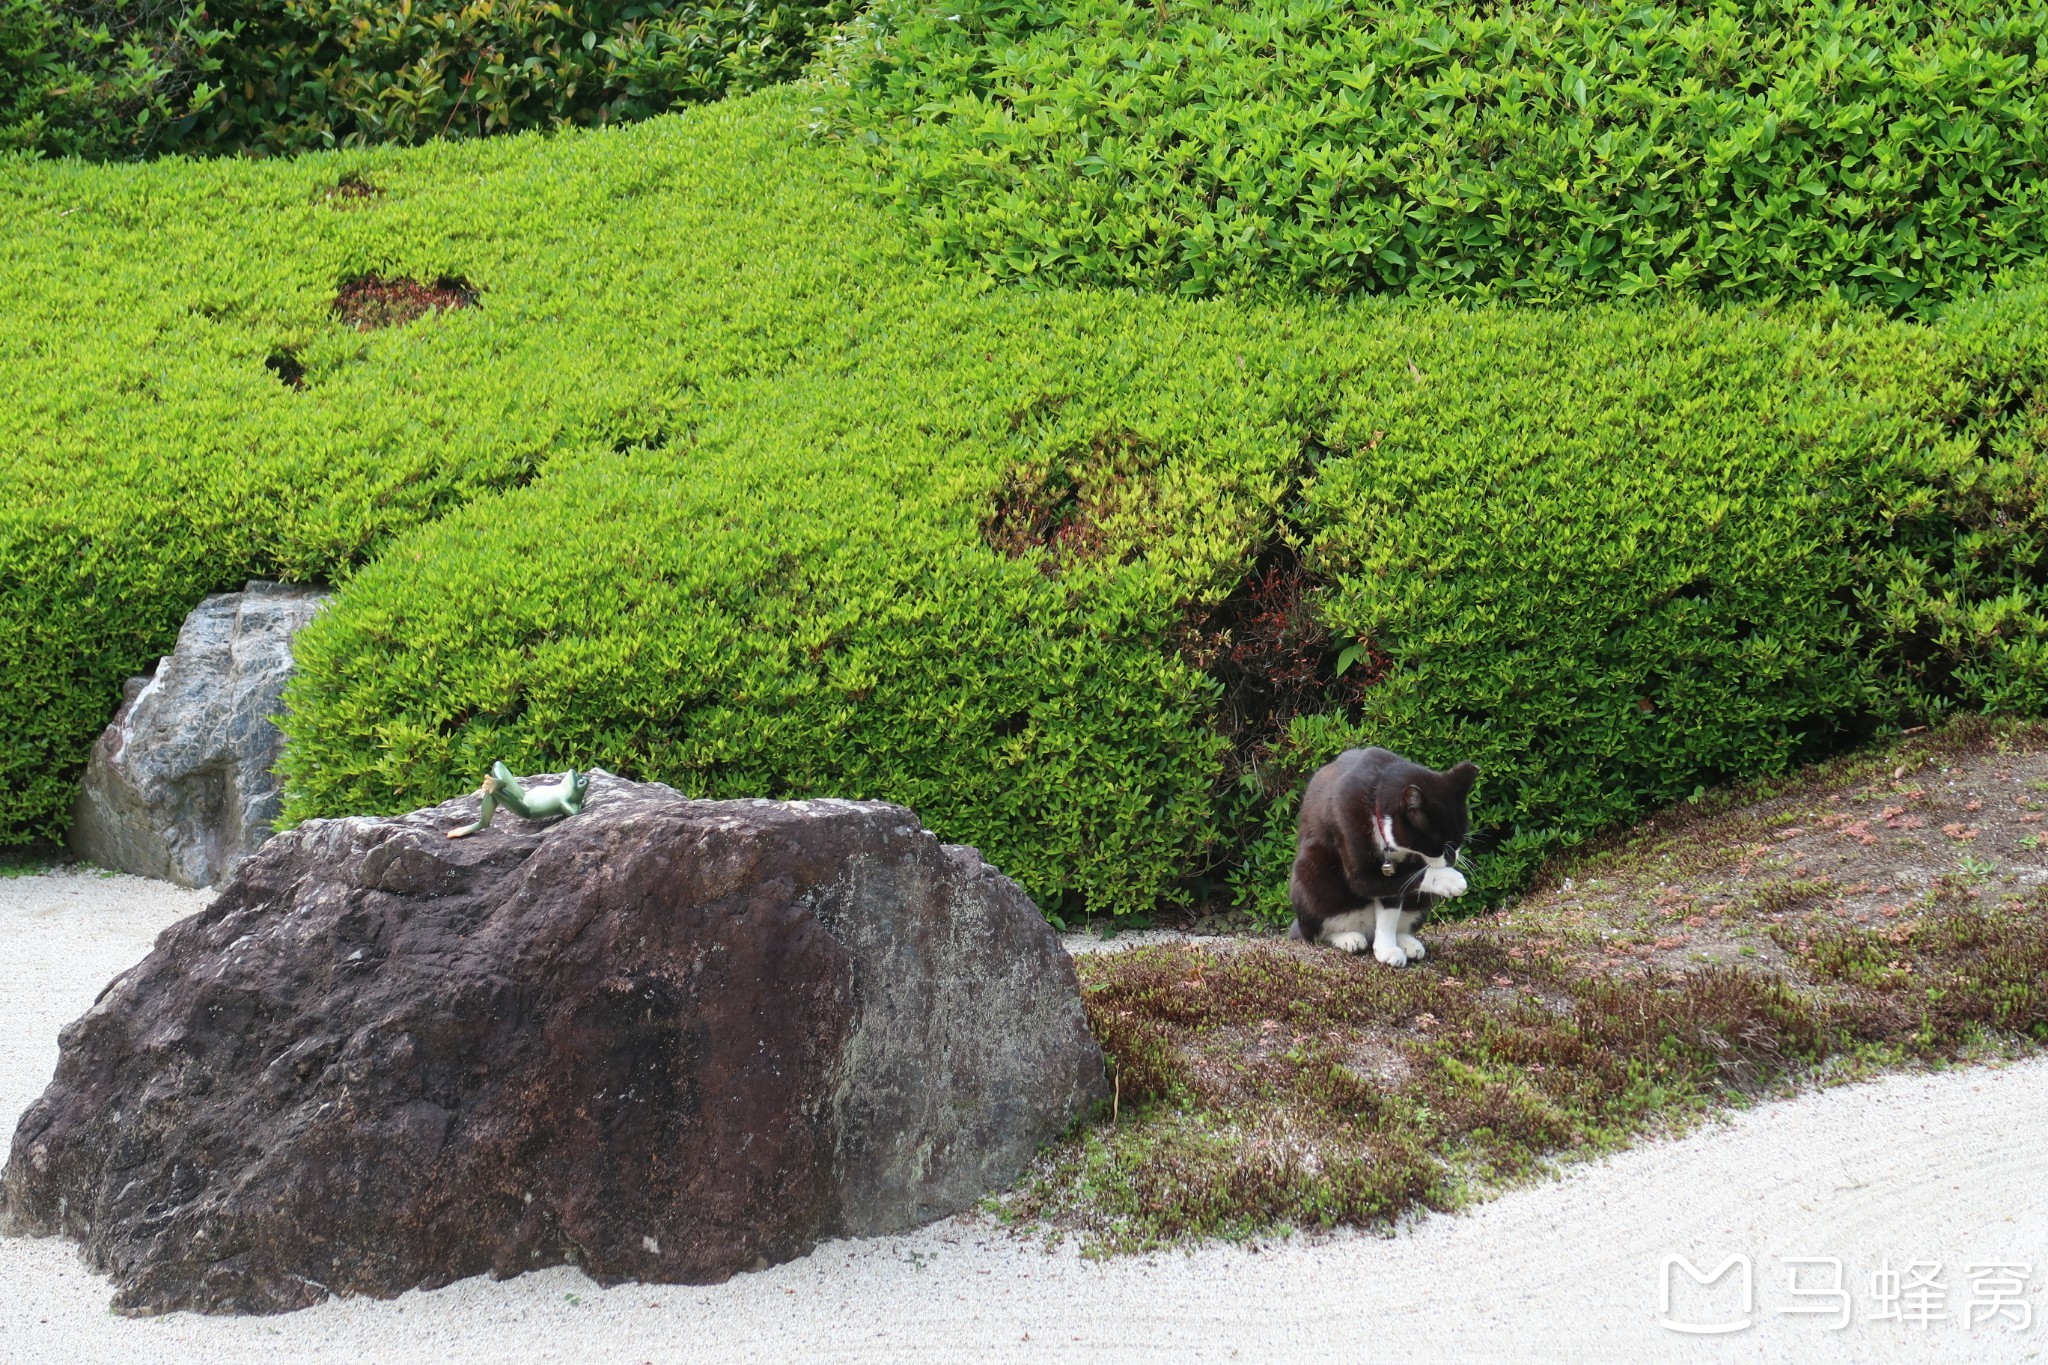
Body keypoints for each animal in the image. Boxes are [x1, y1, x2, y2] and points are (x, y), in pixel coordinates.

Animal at [1286, 753, 1482, 965]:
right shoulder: (1349, 828)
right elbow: (1381, 881)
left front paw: (1387, 949)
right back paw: (1348, 938)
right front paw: (1450, 879)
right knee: (1316, 932)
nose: (1452, 859)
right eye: (1438, 847)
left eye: (1459, 840)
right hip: (1312, 874)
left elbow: (1391, 907)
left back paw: (1406, 941)